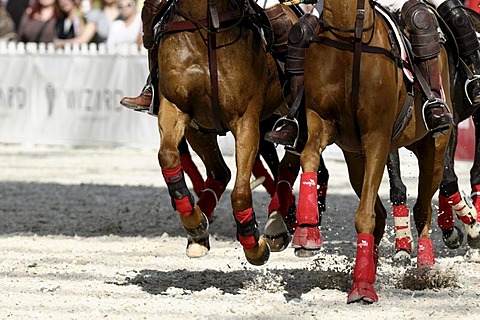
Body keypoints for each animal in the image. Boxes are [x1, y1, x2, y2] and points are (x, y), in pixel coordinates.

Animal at [155, 0, 300, 264]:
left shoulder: (246, 120)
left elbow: (241, 192)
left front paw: (254, 245)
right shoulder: (177, 108)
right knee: (220, 172)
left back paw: (279, 226)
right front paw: (194, 224)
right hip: (200, 131)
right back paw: (199, 232)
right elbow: (168, 157)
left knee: (291, 158)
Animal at [298, 0, 452, 304]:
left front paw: (362, 289)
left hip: (435, 147)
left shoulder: (377, 137)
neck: (351, 36)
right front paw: (307, 233)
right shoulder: (321, 121)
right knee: (382, 215)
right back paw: (370, 268)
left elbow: (365, 216)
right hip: (356, 161)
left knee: (423, 210)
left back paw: (424, 269)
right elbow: (308, 156)